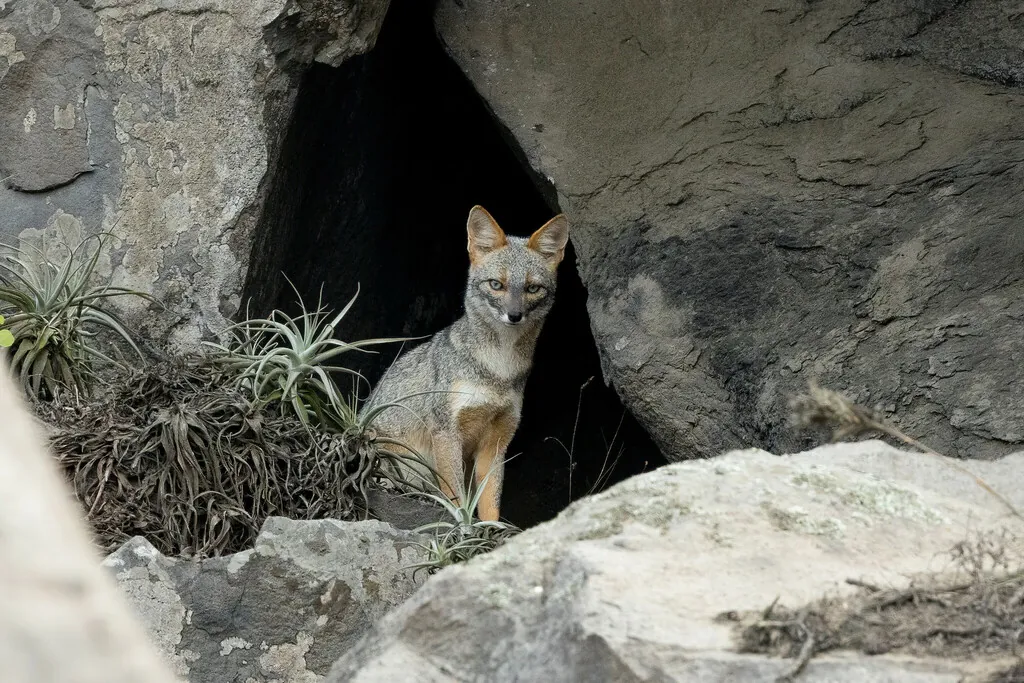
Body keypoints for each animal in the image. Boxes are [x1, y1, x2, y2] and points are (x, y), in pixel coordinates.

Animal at [362, 205, 569, 522]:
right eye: (497, 285)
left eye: (532, 288)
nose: (514, 315)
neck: (499, 368)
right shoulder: (446, 432)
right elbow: (456, 498)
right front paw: (461, 527)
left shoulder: (496, 443)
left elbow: (490, 504)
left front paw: (489, 533)